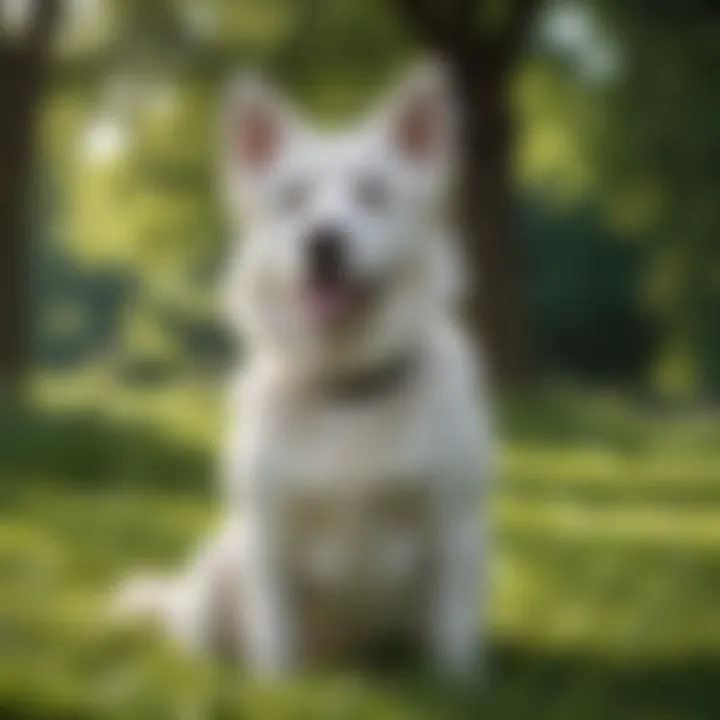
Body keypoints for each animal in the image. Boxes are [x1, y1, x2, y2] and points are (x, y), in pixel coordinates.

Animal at [114, 60, 496, 676]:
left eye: (374, 192)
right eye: (291, 197)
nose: (323, 241)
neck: (345, 389)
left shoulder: (455, 531)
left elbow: (453, 645)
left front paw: (460, 684)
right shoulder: (270, 538)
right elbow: (275, 645)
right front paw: (276, 686)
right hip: (218, 572)